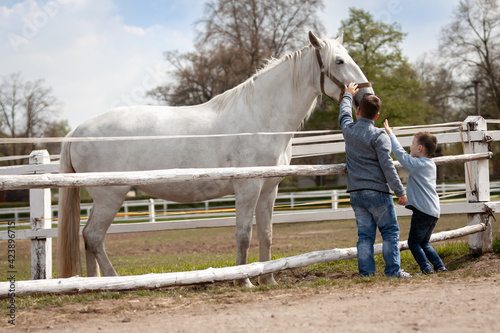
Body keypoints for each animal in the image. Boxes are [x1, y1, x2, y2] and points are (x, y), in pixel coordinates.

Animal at [56, 31, 374, 286]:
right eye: (339, 62)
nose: (370, 98)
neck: (261, 118)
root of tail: (77, 131)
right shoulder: (247, 188)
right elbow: (243, 234)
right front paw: (243, 280)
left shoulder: (269, 190)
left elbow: (267, 234)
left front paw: (269, 279)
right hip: (110, 196)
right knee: (93, 236)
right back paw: (114, 281)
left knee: (88, 238)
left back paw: (95, 283)